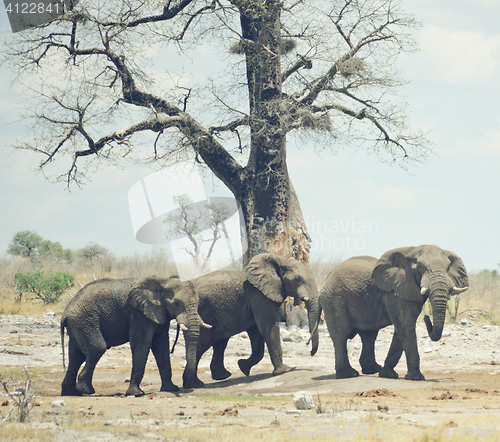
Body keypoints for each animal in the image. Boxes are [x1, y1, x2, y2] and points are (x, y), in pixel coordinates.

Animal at [60, 274, 209, 396]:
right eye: (176, 303)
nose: (190, 386)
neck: (163, 280)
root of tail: (65, 312)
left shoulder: (159, 313)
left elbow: (161, 346)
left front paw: (171, 389)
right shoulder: (139, 314)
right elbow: (142, 344)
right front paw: (137, 393)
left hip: (78, 324)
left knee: (76, 356)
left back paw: (71, 393)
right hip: (85, 321)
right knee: (97, 348)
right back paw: (86, 390)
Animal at [184, 254, 320, 388]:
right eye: (297, 279)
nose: (310, 352)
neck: (281, 260)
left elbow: (256, 333)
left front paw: (243, 367)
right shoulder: (260, 296)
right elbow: (268, 327)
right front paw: (285, 370)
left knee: (219, 341)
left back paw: (213, 379)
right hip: (202, 314)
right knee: (202, 343)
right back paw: (194, 384)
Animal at [320, 245, 468, 380]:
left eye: (448, 268)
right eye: (420, 267)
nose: (427, 317)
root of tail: (327, 277)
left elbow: (401, 329)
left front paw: (388, 374)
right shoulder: (395, 291)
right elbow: (405, 326)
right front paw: (416, 378)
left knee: (369, 335)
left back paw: (372, 370)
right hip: (334, 299)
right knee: (341, 334)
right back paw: (349, 374)